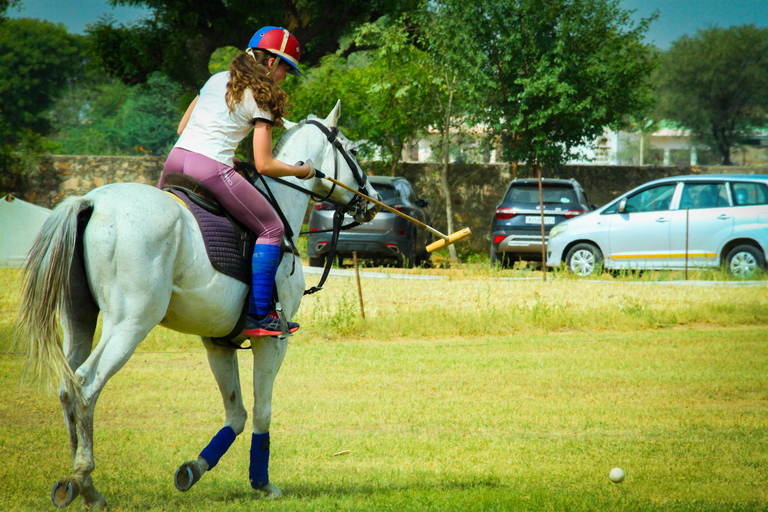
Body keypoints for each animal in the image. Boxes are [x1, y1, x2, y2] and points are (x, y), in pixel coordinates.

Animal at [16, 103, 376, 508]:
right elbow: (263, 411)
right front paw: (262, 483)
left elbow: (236, 414)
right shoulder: (273, 341)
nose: (370, 200)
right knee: (87, 383)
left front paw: (194, 469)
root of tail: (91, 202)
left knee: (67, 385)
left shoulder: (218, 342)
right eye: (354, 151)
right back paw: (83, 478)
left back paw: (84, 485)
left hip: (78, 317)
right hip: (129, 323)